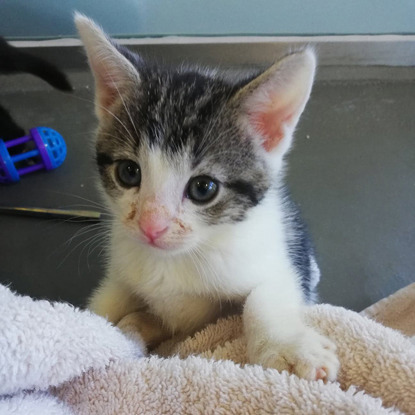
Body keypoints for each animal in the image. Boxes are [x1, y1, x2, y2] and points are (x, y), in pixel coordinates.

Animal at [76, 14, 340, 382]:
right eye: (129, 172)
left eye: (203, 188)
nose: (151, 227)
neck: (177, 260)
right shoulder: (121, 272)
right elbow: (105, 304)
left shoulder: (276, 260)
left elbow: (262, 296)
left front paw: (291, 349)